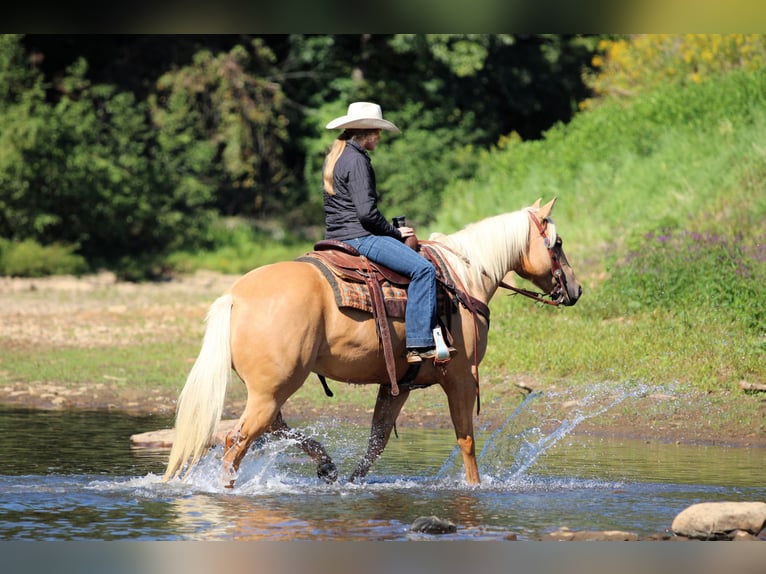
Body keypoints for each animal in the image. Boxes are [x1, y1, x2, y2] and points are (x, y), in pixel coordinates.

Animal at [163, 197, 581, 487]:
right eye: (558, 243)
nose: (576, 290)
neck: (462, 278)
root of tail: (235, 297)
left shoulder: (398, 385)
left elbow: (377, 442)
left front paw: (353, 482)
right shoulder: (461, 377)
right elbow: (466, 439)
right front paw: (474, 487)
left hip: (269, 392)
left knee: (274, 430)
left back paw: (327, 466)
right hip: (272, 391)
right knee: (238, 439)